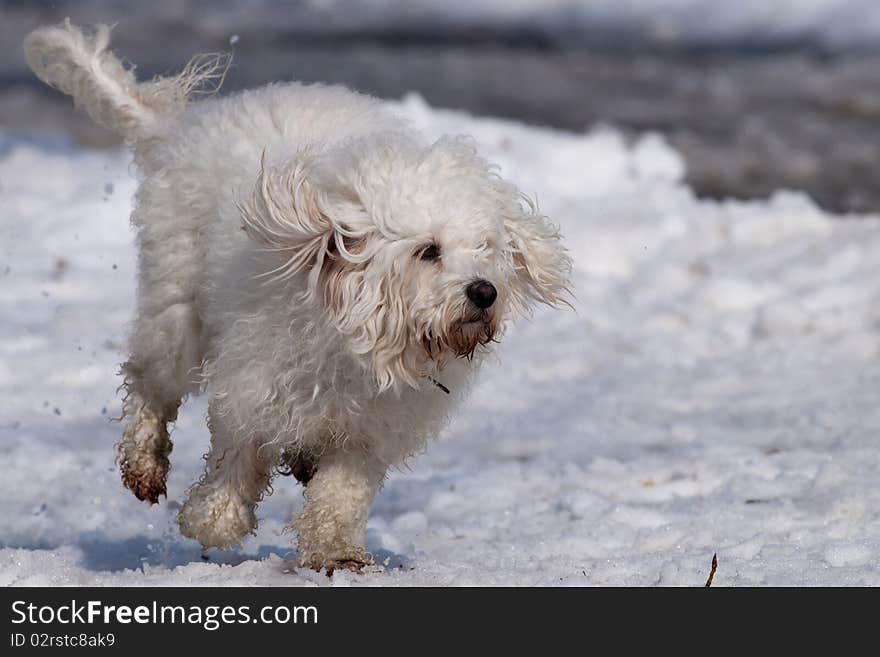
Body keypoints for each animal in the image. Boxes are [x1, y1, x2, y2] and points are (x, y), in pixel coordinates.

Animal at [25, 23, 572, 572]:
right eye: (428, 251)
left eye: (486, 249)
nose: (485, 291)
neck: (359, 340)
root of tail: (183, 129)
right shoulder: (254, 386)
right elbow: (237, 457)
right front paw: (213, 518)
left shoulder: (370, 428)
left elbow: (342, 493)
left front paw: (336, 551)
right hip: (174, 310)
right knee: (149, 384)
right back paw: (144, 461)